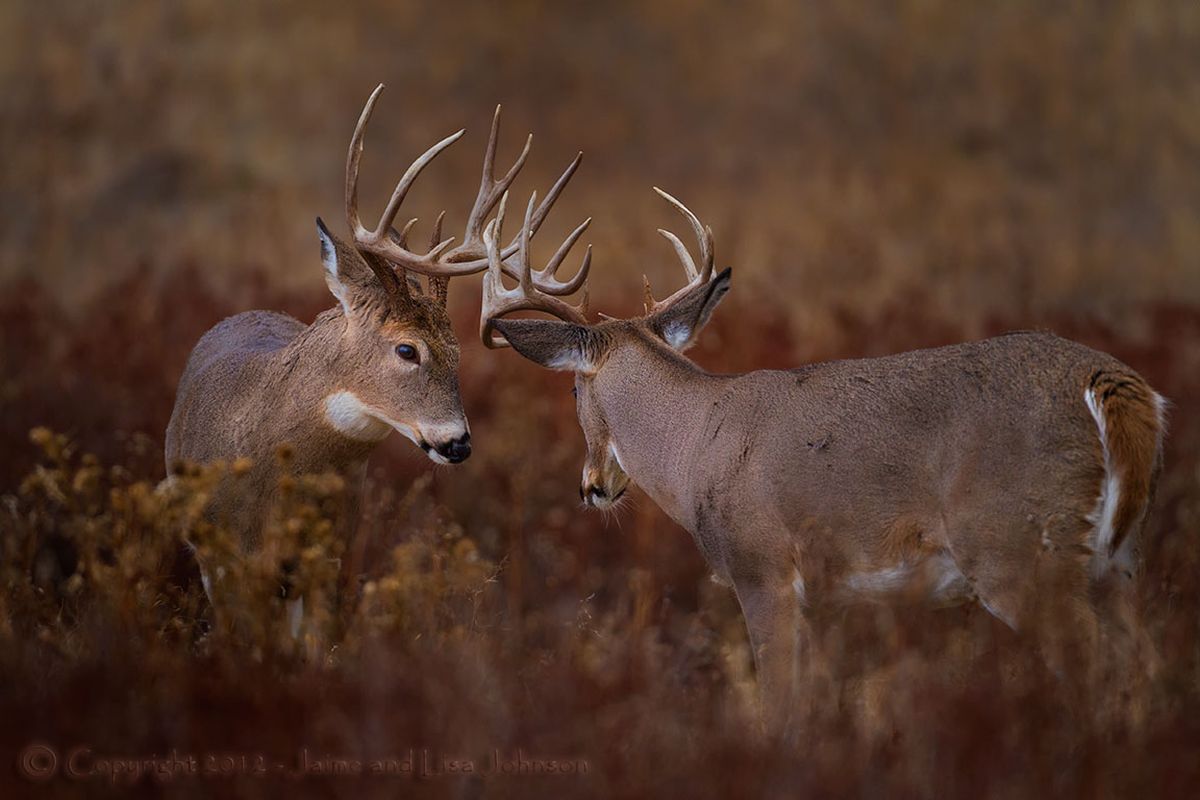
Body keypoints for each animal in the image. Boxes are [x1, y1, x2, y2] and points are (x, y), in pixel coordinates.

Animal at [482, 188, 1166, 734]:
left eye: (573, 391)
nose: (592, 486)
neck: (695, 444)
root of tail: (1115, 385)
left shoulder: (762, 570)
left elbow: (780, 708)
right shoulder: (817, 599)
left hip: (1016, 547)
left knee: (1093, 666)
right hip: (1119, 559)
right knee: (1142, 667)